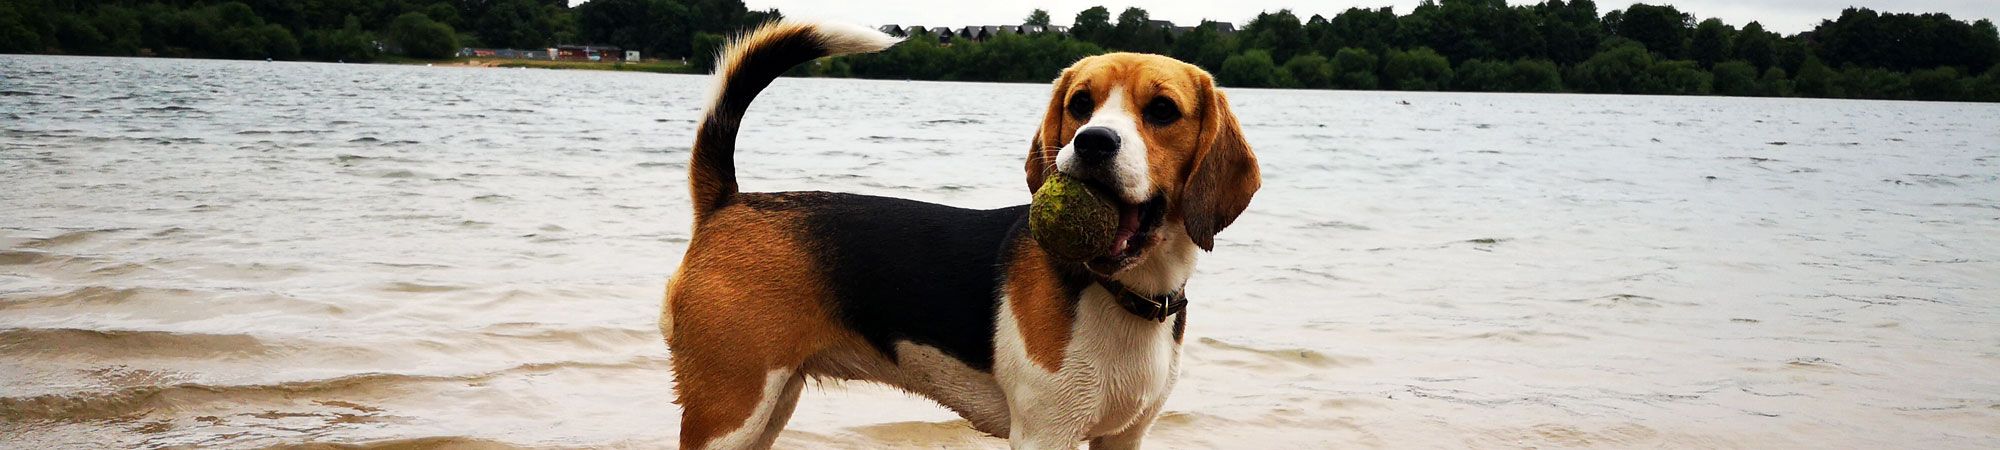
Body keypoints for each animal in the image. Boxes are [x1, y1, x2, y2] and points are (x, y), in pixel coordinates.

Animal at [664, 22, 1256, 450]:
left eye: (1163, 111)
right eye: (1080, 105)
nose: (1092, 142)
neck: (1124, 292)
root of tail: (728, 202)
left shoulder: (1125, 436)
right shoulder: (1045, 434)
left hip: (771, 405)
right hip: (731, 411)